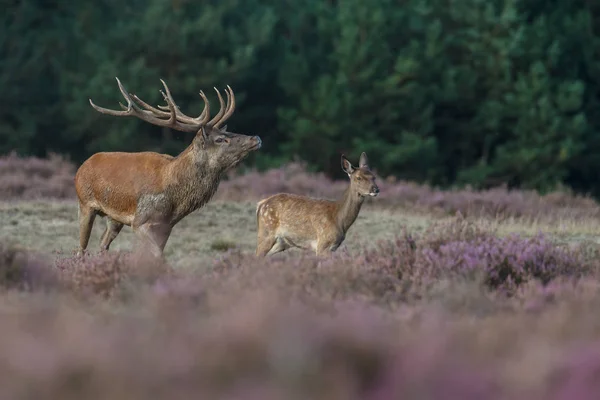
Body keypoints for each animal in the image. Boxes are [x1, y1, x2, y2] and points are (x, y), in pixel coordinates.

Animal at [74, 78, 260, 256]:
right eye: (220, 139)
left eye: (229, 132)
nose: (256, 138)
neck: (175, 199)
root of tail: (82, 166)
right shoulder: (140, 221)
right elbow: (156, 255)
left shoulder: (166, 227)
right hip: (85, 204)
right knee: (80, 248)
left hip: (114, 218)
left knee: (102, 244)